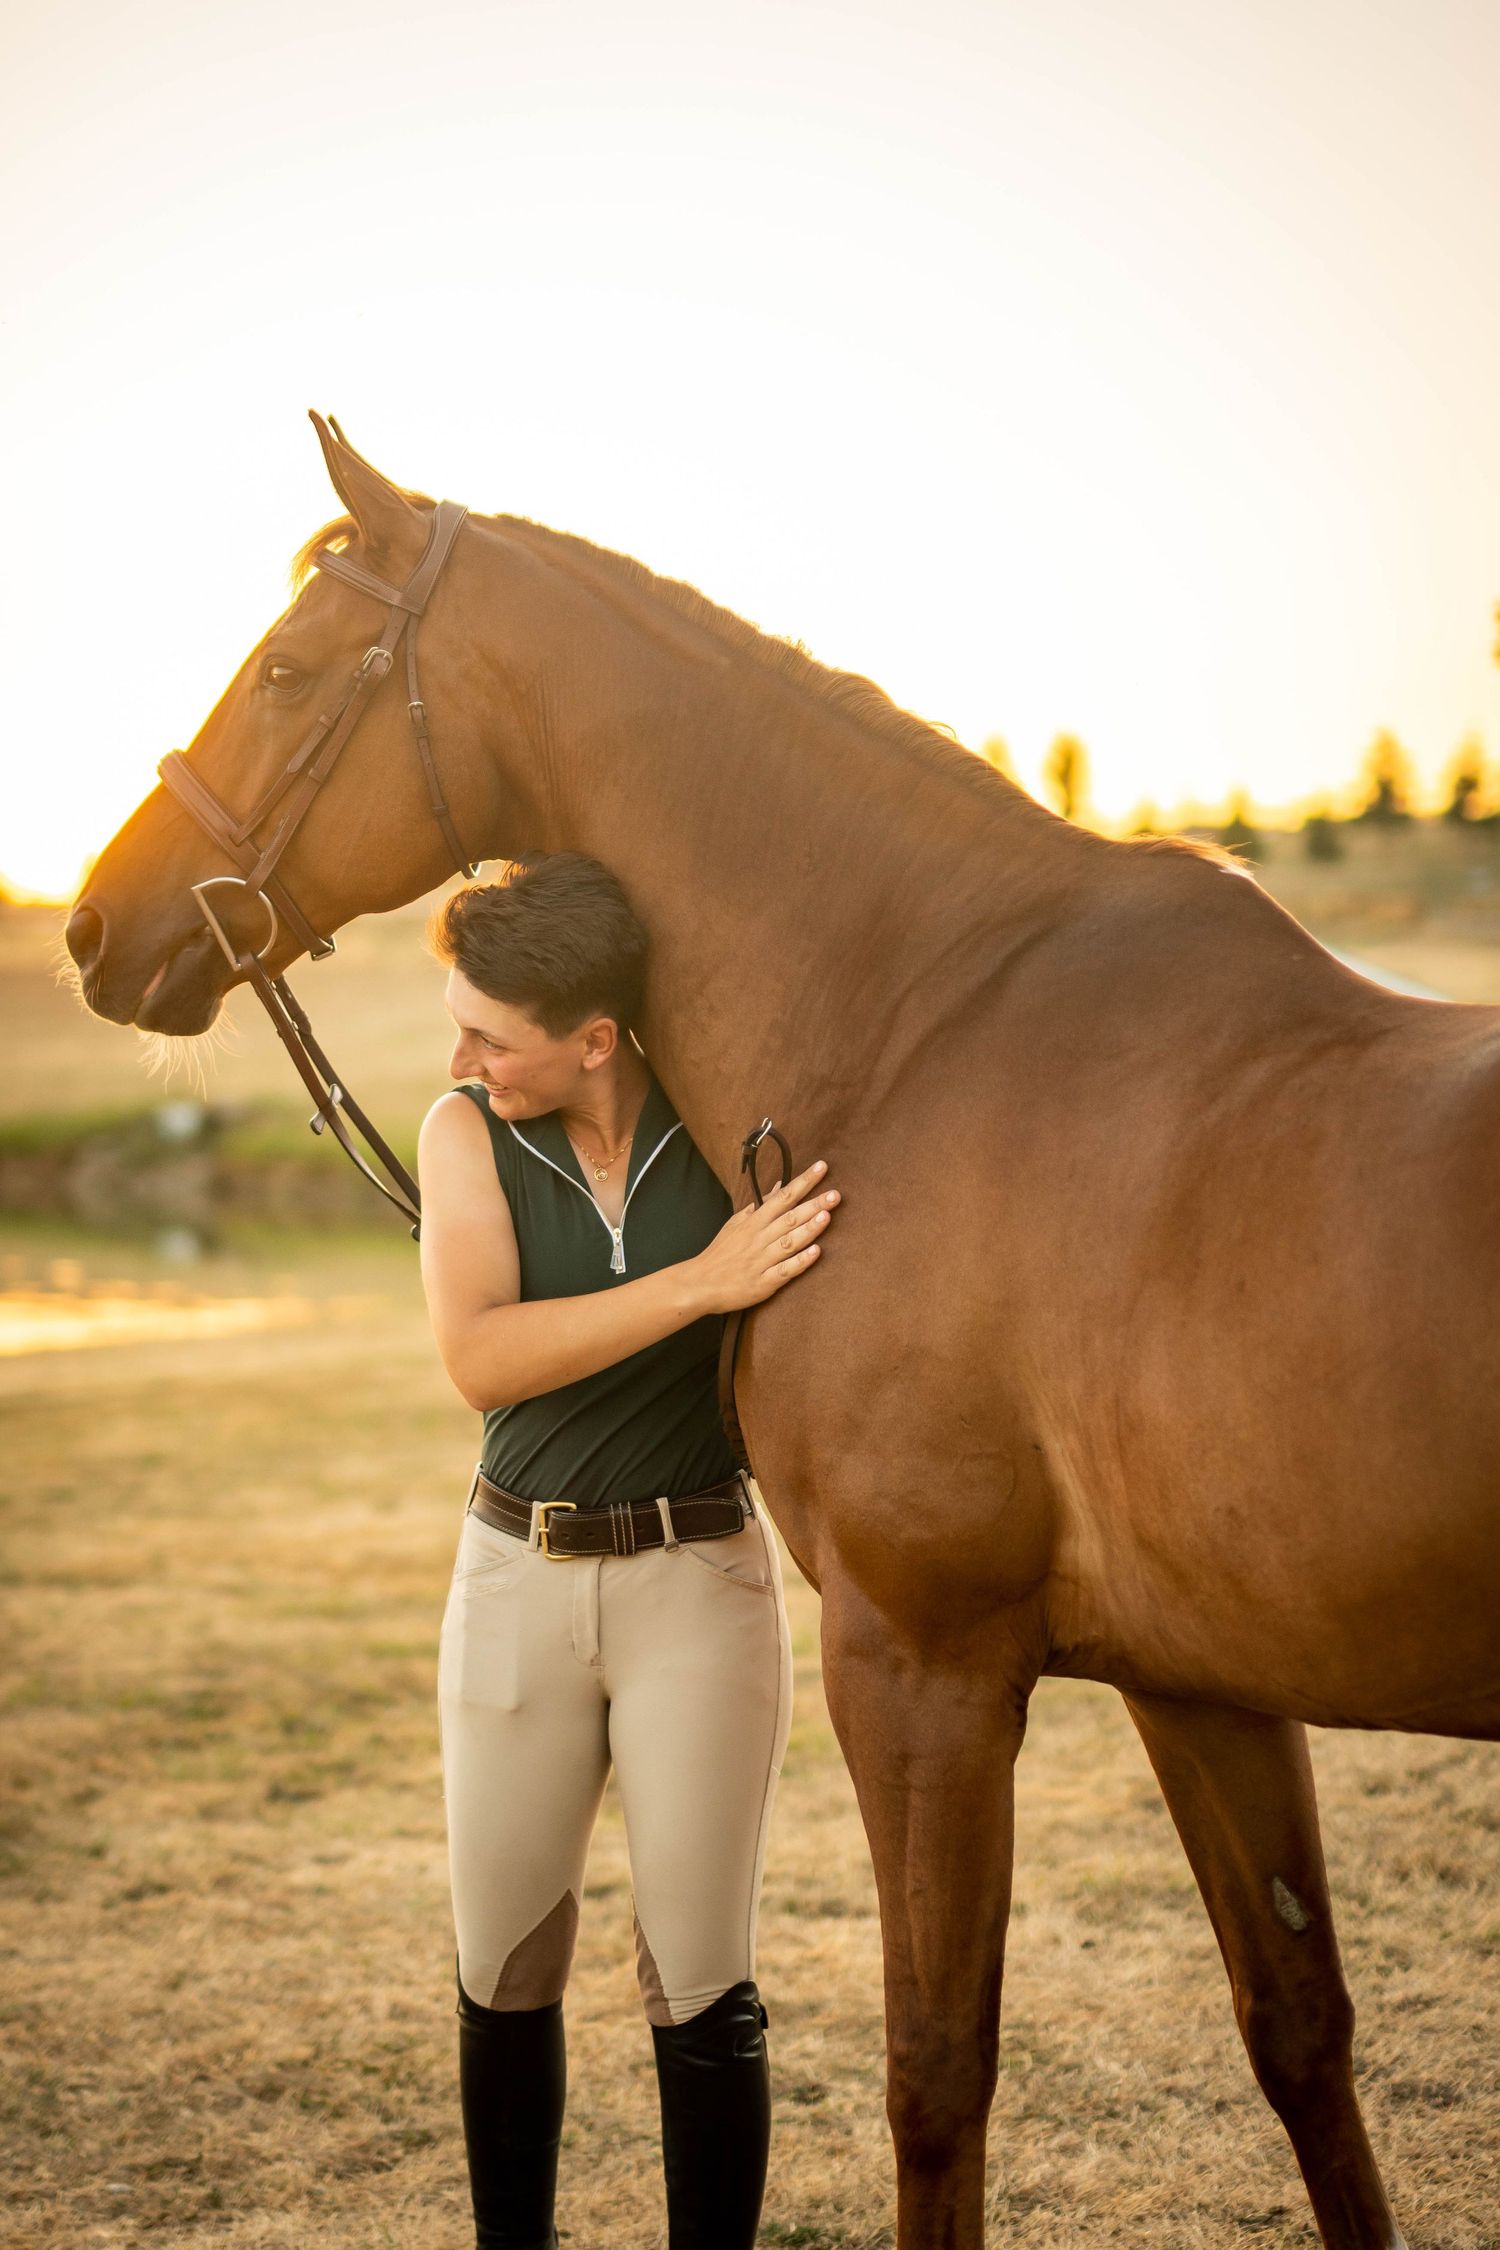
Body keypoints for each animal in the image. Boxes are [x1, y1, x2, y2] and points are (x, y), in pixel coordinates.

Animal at [64, 412, 1499, 2248]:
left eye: (288, 669)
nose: (97, 927)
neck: (920, 1033)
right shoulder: (1208, 1684)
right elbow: (1301, 2033)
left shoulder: (923, 1662)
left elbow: (936, 2070)